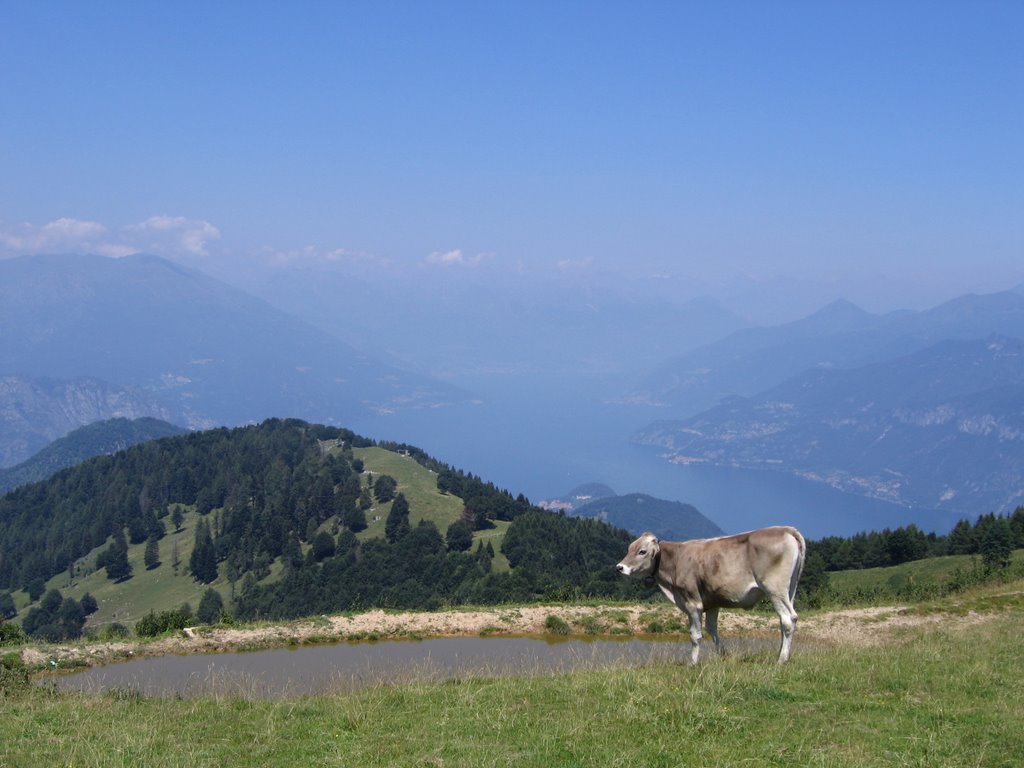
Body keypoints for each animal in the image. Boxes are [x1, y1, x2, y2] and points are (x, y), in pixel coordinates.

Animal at [614, 528, 806, 663]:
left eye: (642, 551)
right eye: (629, 548)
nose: (619, 567)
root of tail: (785, 529)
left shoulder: (692, 602)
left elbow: (695, 635)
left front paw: (692, 663)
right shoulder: (712, 602)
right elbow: (712, 629)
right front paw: (723, 655)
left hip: (775, 589)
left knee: (787, 619)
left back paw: (781, 659)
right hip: (790, 590)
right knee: (786, 620)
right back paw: (782, 654)